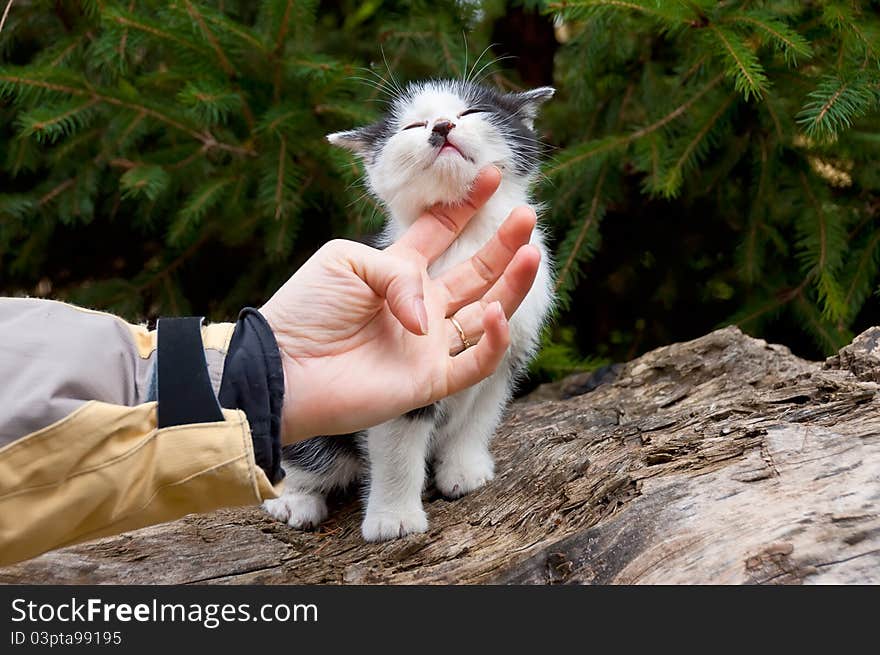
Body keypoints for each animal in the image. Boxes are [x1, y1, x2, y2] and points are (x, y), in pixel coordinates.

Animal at [262, 78, 552, 544]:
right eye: (412, 126)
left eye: (472, 112)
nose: (442, 125)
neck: (467, 236)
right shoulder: (398, 375)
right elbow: (398, 447)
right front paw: (393, 518)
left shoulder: (506, 349)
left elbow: (480, 416)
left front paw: (465, 469)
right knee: (307, 462)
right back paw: (293, 501)